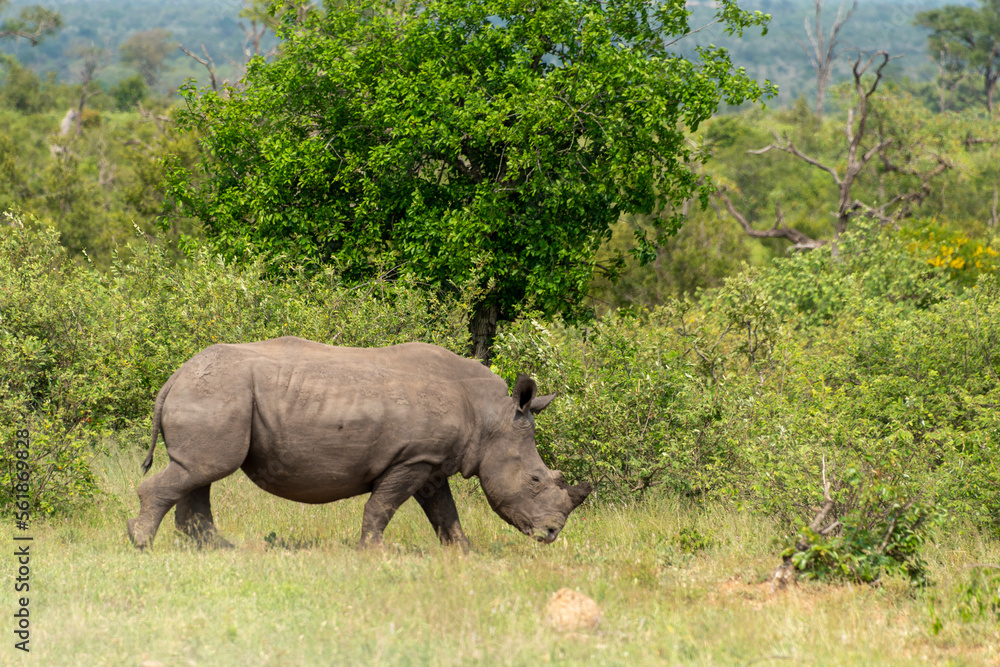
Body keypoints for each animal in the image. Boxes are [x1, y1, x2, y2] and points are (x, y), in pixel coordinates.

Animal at [127, 336, 592, 550]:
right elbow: (382, 505)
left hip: (216, 395)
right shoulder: (412, 459)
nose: (551, 533)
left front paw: (465, 553)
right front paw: (374, 550)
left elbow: (445, 513)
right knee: (202, 469)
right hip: (216, 393)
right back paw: (142, 543)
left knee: (198, 472)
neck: (491, 417)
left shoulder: (431, 464)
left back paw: (215, 549)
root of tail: (174, 377)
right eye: (535, 480)